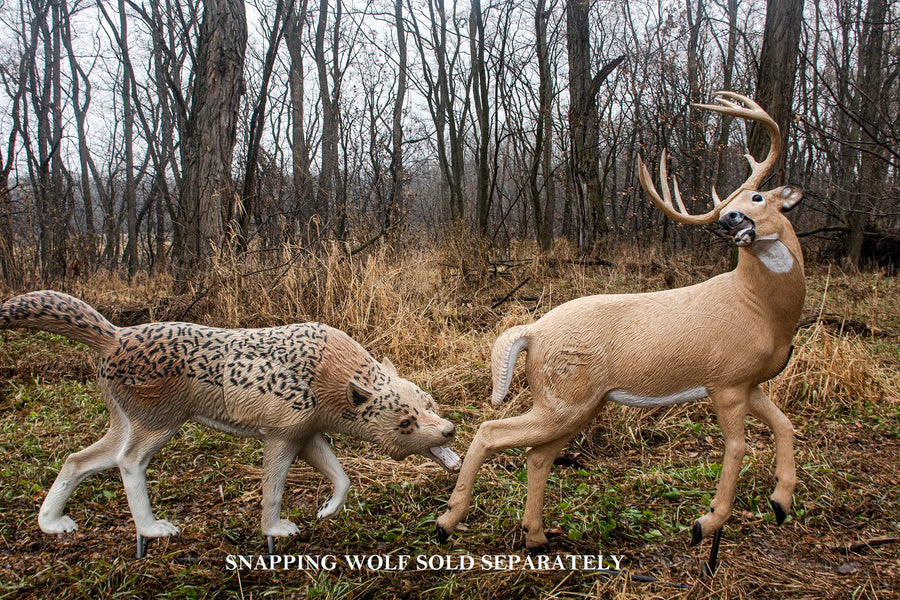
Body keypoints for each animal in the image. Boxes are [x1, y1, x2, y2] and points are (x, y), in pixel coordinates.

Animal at [436, 92, 805, 570]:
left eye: (758, 195)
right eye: (729, 204)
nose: (730, 220)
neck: (757, 307)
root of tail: (533, 331)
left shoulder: (750, 382)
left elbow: (784, 424)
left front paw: (781, 502)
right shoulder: (724, 380)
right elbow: (738, 447)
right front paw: (705, 524)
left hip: (578, 403)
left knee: (538, 456)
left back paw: (536, 537)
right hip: (565, 397)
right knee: (490, 432)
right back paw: (447, 523)